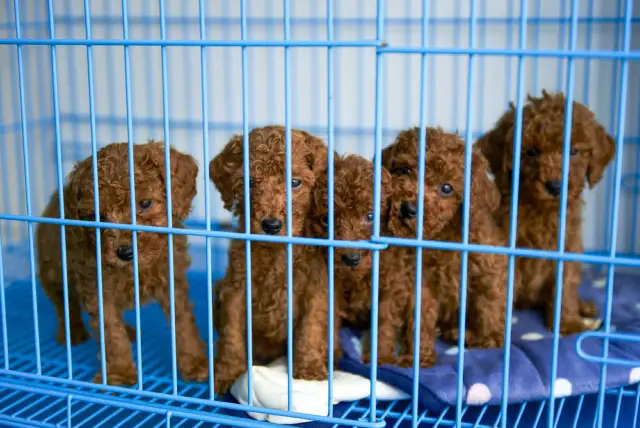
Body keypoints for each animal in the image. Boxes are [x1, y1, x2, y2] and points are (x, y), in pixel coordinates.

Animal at [37, 140, 208, 384]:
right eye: (98, 216)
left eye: (145, 203)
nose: (125, 252)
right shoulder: (97, 288)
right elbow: (111, 332)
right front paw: (120, 373)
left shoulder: (172, 279)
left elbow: (183, 322)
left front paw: (195, 362)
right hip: (52, 272)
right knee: (64, 304)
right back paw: (73, 332)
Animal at [211, 124, 340, 394]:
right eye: (249, 182)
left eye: (295, 182)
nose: (271, 225)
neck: (277, 250)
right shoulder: (235, 290)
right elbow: (231, 336)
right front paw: (228, 373)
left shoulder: (315, 291)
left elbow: (310, 329)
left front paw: (309, 371)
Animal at [308, 154, 438, 368]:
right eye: (327, 220)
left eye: (370, 216)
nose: (351, 258)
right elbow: (330, 317)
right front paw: (331, 355)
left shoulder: (392, 285)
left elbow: (384, 321)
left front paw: (380, 357)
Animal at [382, 126, 508, 348]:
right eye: (405, 170)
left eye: (447, 188)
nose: (408, 208)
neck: (444, 235)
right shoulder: (421, 281)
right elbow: (422, 316)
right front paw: (420, 352)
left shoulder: (489, 266)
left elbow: (490, 302)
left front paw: (490, 338)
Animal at [476, 89, 616, 334]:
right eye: (531, 152)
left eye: (574, 151)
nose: (555, 186)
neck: (542, 210)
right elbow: (499, 290)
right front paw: (495, 330)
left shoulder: (568, 248)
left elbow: (565, 287)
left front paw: (567, 323)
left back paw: (584, 307)